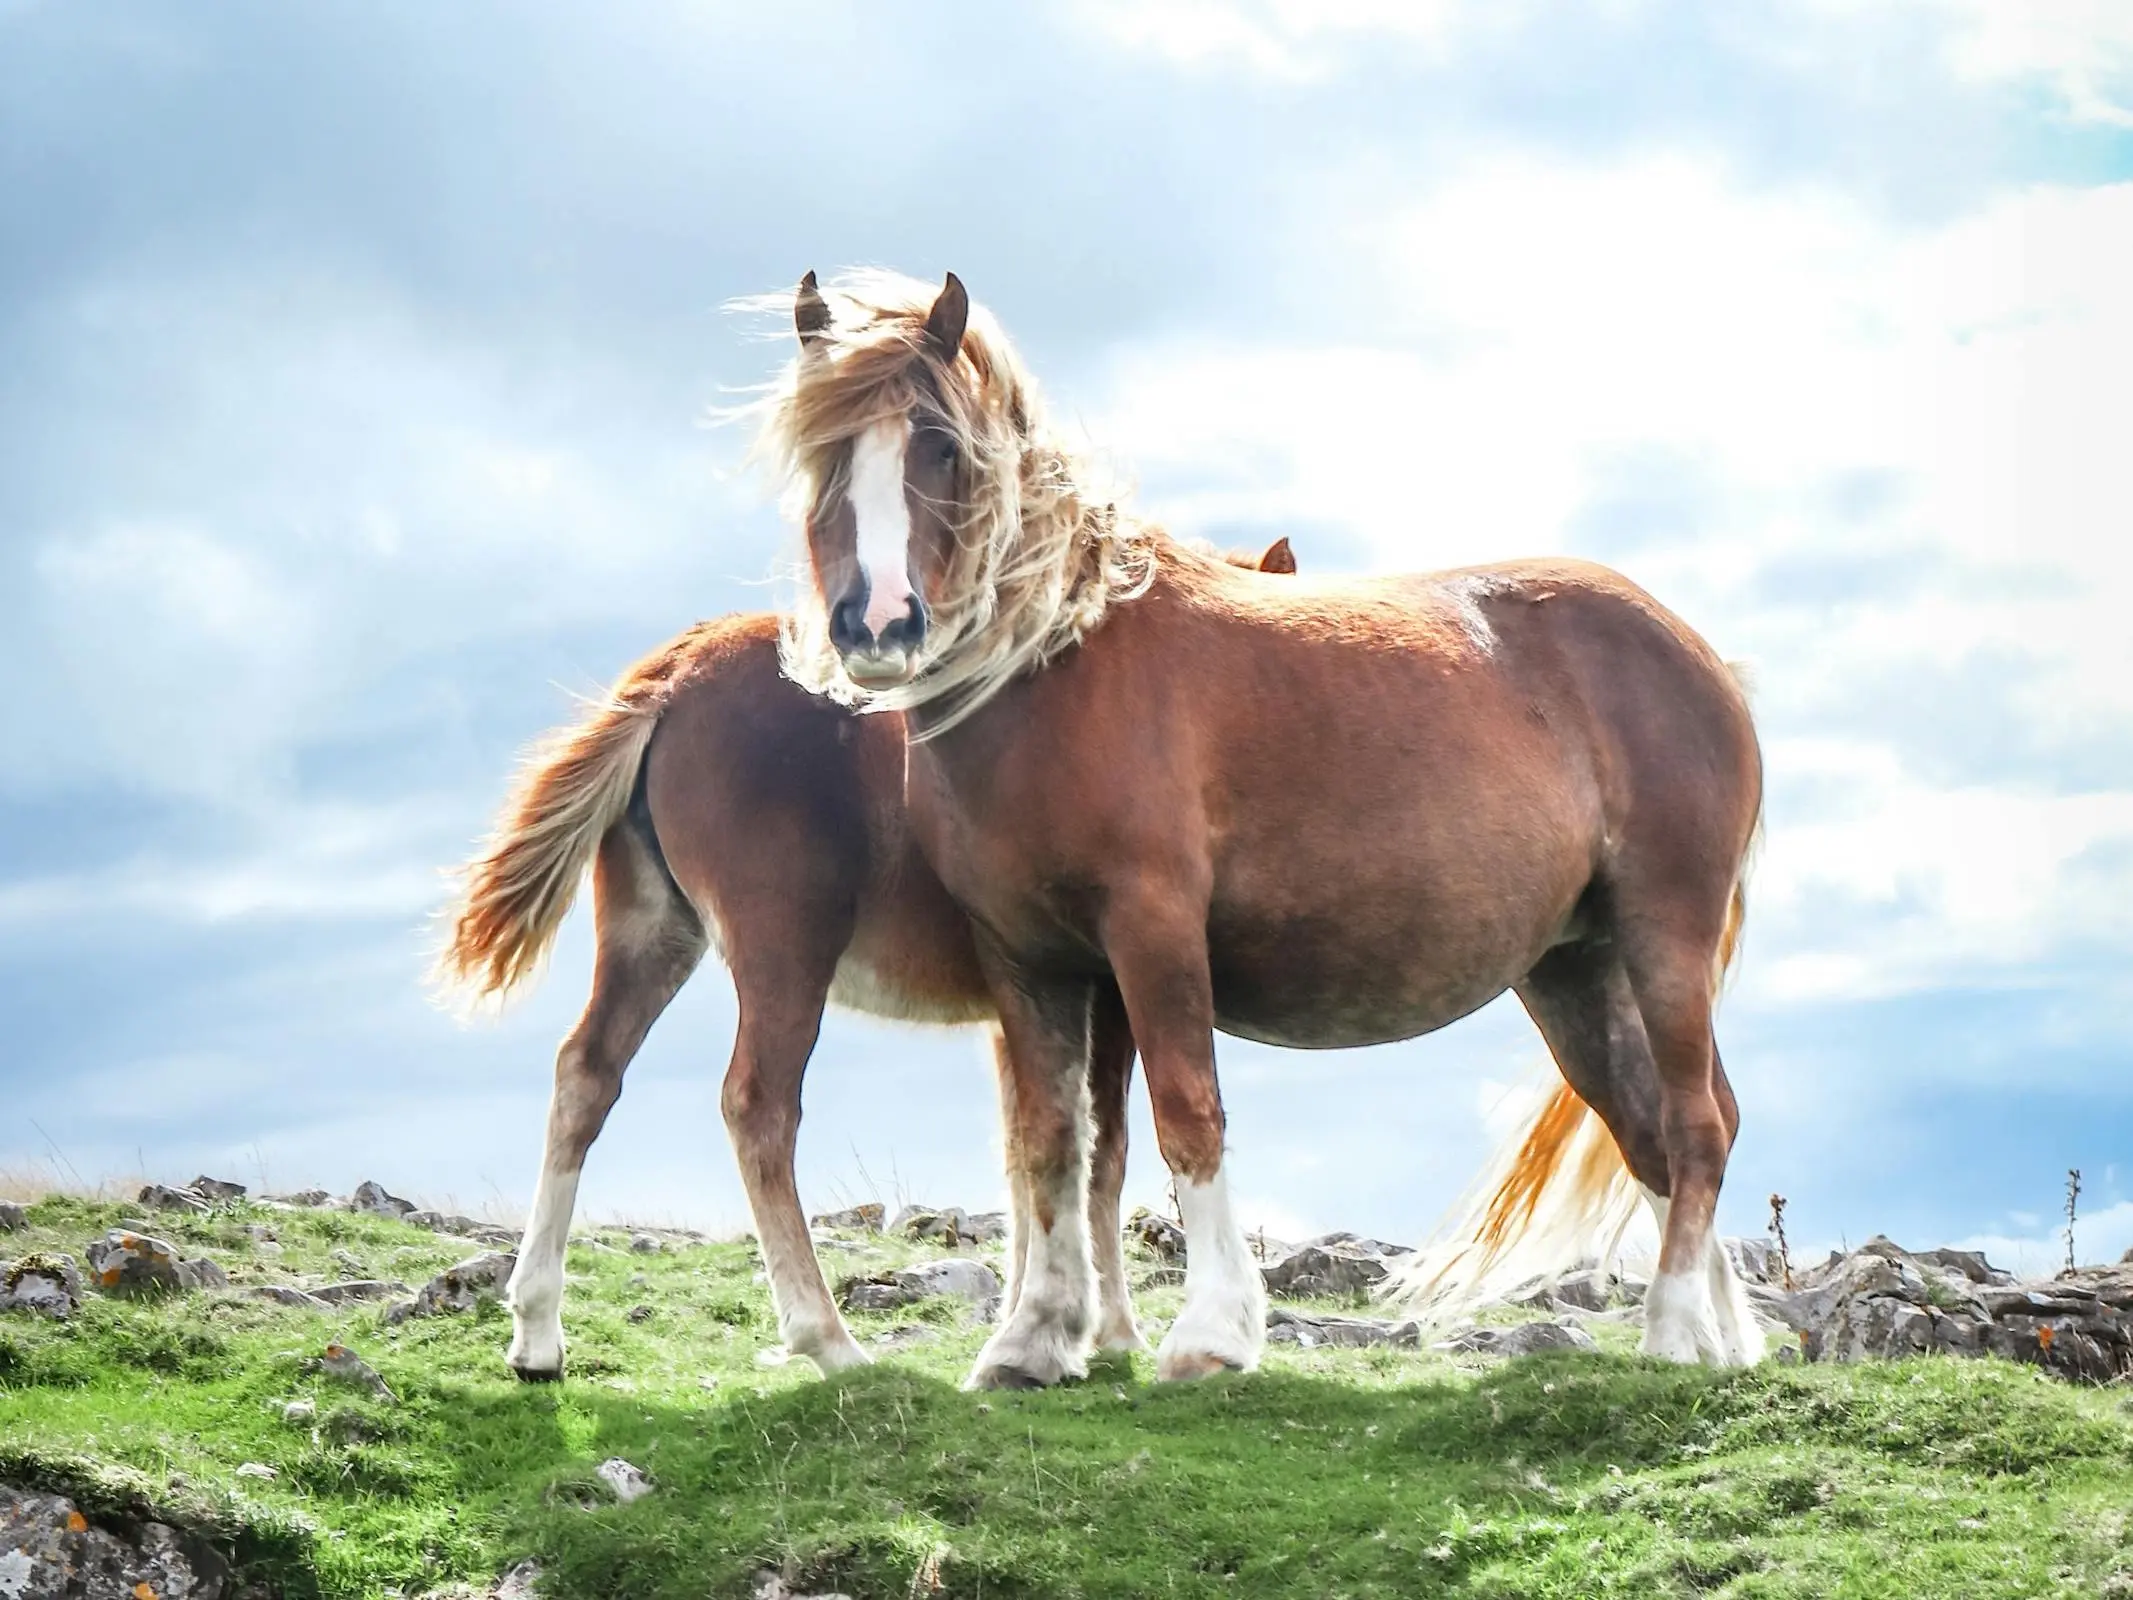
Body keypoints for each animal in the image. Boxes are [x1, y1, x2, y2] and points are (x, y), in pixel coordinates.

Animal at [430, 546, 1288, 1382]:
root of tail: (676, 674)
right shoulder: (1102, 990)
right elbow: (1098, 1147)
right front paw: (1101, 1332)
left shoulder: (1022, 1008)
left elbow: (1027, 1145)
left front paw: (1032, 1327)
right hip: (786, 946)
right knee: (758, 1104)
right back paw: (829, 1340)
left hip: (652, 931)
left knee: (587, 1073)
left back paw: (537, 1335)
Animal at [767, 266, 1766, 1390]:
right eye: (823, 451)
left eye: (939, 442)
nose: (877, 625)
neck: (1057, 664)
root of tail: (1700, 657)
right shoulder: (1030, 961)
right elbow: (1054, 1141)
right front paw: (1032, 1341)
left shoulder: (1153, 933)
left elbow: (1185, 1114)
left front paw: (1209, 1333)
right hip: (1575, 970)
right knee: (1654, 1130)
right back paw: (1721, 1340)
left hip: (1663, 935)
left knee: (1695, 1122)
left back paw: (1675, 1328)